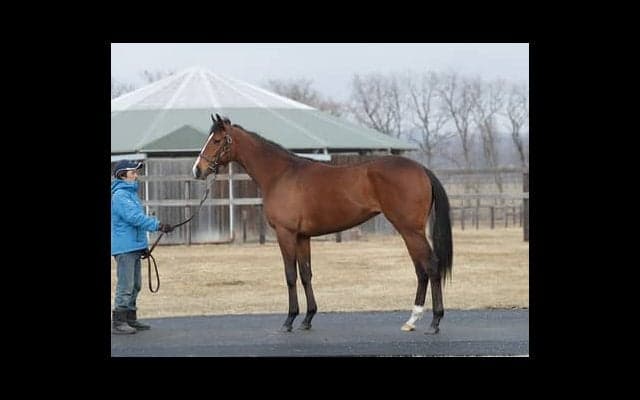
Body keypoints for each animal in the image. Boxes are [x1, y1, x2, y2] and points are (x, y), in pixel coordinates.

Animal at [193, 114, 453, 334]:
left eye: (216, 140)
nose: (197, 170)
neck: (280, 174)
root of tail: (422, 169)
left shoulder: (286, 234)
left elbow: (290, 275)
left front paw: (289, 320)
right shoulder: (302, 237)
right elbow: (306, 273)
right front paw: (308, 318)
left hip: (410, 230)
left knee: (430, 266)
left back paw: (434, 321)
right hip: (409, 231)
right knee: (421, 269)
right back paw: (412, 320)